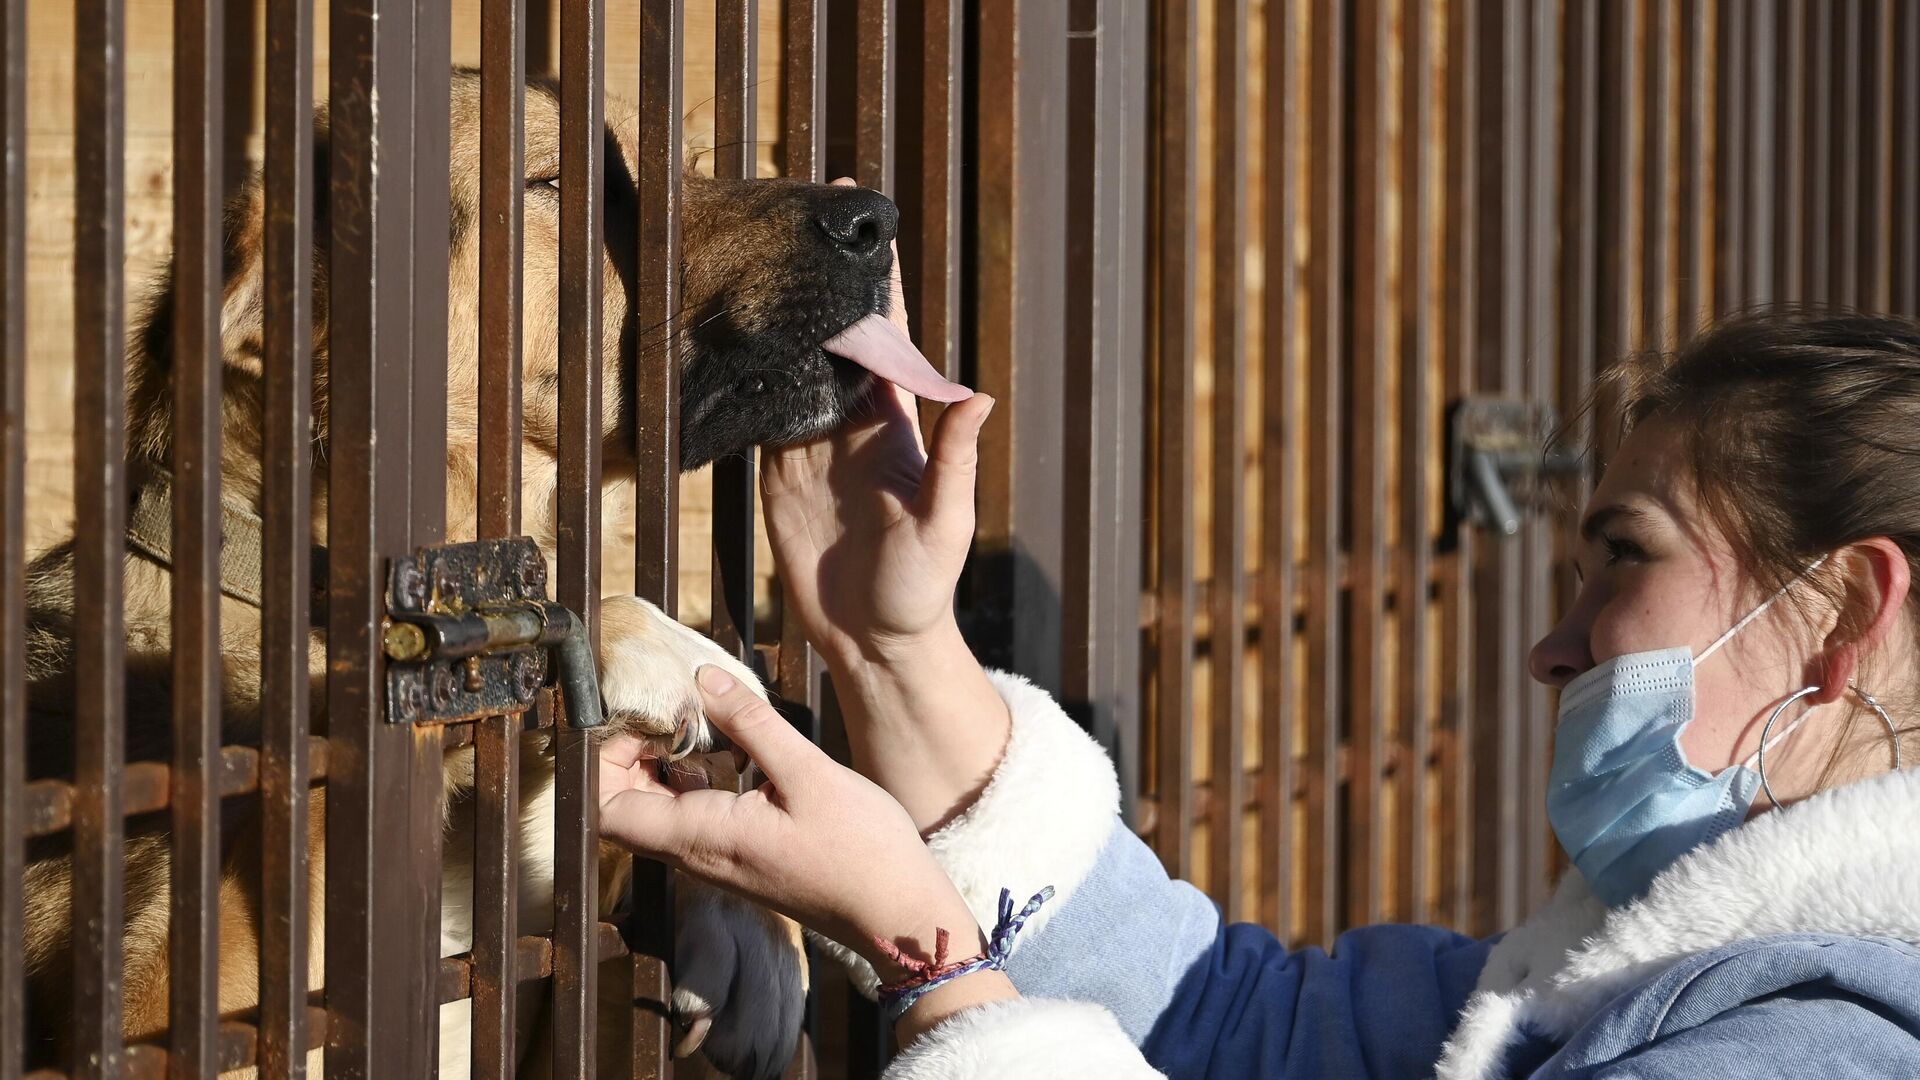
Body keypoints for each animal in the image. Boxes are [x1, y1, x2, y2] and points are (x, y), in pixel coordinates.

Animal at [20, 69, 906, 1076]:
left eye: (684, 163)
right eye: (564, 185)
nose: (878, 220)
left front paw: (749, 920)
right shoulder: (158, 1018)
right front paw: (639, 639)